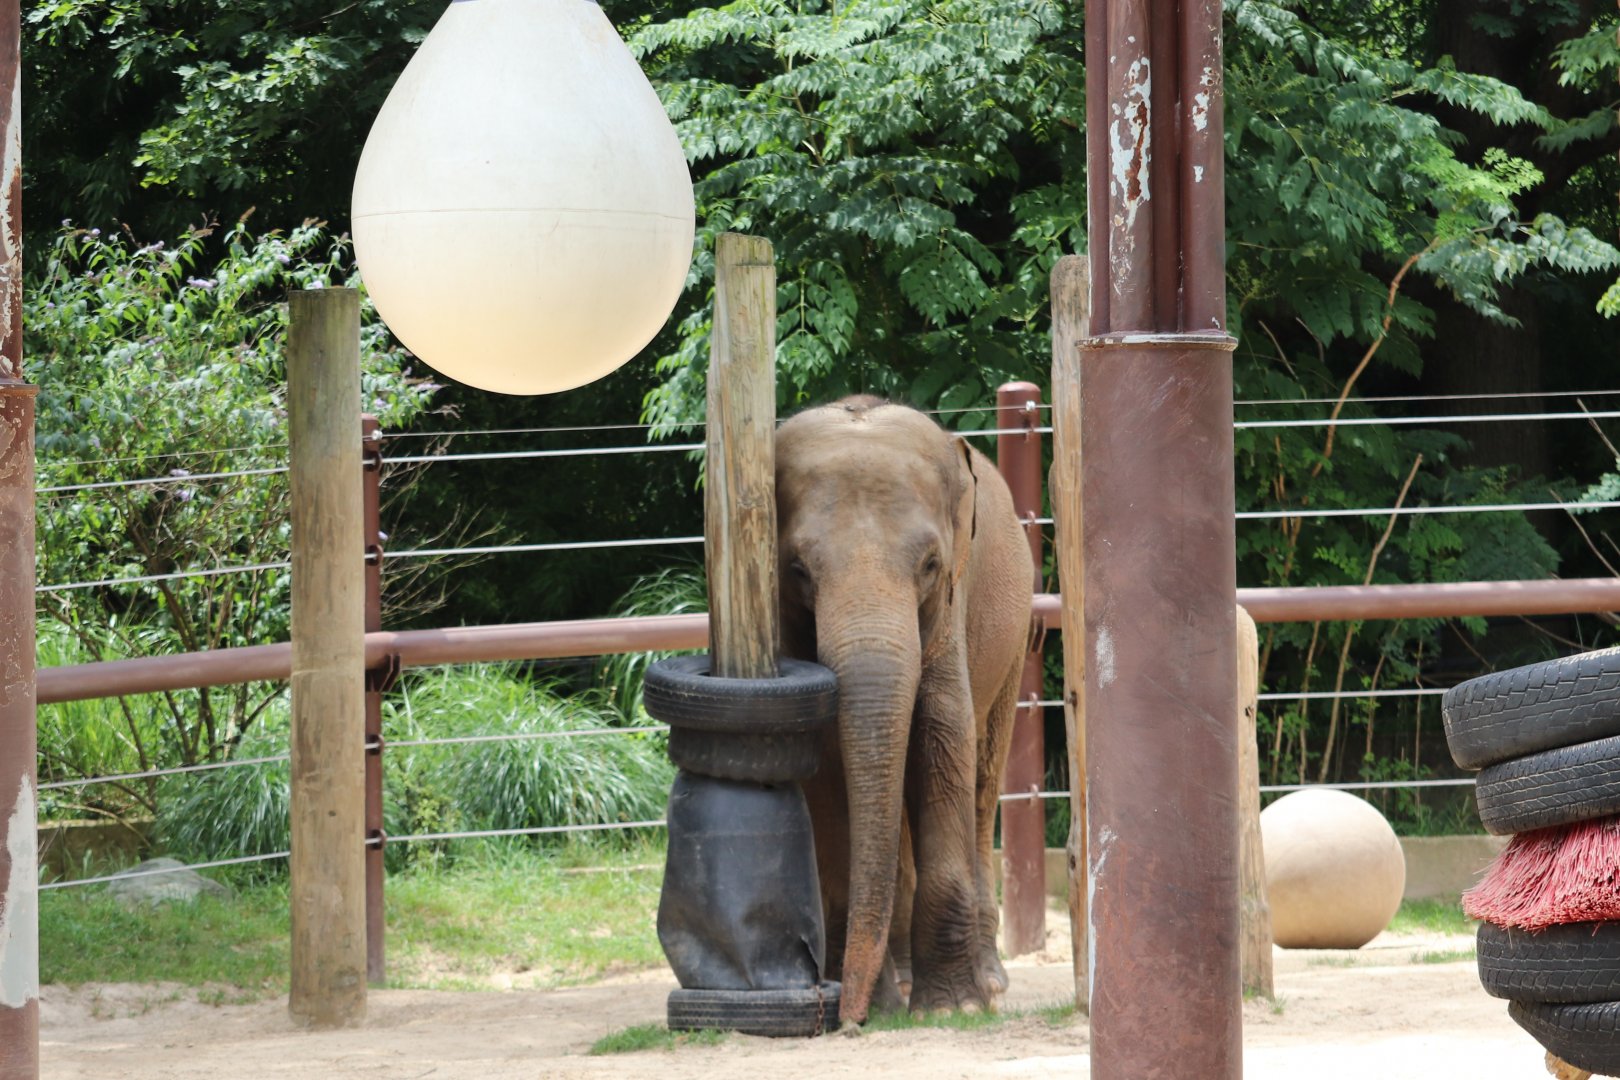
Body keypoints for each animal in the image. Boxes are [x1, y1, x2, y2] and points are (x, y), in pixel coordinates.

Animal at [775, 395, 1035, 1024]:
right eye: (797, 571)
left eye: (931, 565)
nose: (848, 1022)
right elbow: (823, 762)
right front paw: (875, 1004)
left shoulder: (950, 612)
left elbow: (943, 735)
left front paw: (952, 1009)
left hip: (1014, 639)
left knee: (983, 780)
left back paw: (989, 982)